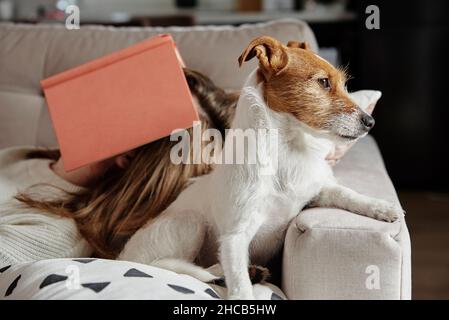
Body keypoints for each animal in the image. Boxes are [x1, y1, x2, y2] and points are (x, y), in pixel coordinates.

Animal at [118, 35, 402, 300]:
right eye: (323, 82)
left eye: (344, 84)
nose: (370, 122)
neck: (287, 150)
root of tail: (123, 258)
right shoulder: (235, 237)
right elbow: (239, 283)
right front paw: (243, 292)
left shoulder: (316, 191)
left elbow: (346, 193)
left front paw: (382, 207)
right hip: (189, 224)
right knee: (177, 266)